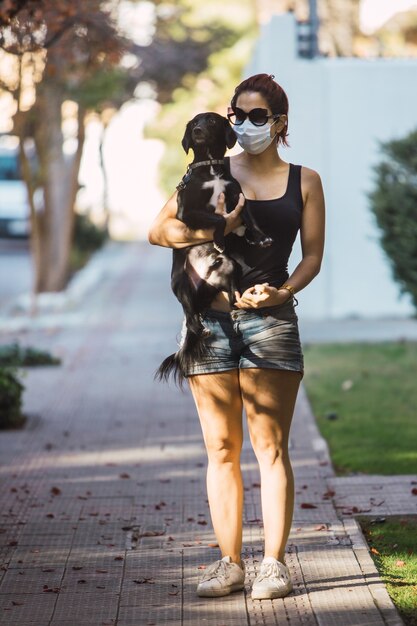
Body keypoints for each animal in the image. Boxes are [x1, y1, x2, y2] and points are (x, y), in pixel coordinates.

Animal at [154, 112, 272, 386]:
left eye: (212, 121)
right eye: (194, 123)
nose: (197, 131)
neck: (210, 168)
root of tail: (204, 285)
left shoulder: (238, 197)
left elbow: (249, 218)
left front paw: (258, 237)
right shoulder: (187, 212)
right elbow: (218, 218)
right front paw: (220, 237)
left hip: (229, 267)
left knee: (232, 300)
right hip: (181, 285)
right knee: (191, 321)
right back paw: (202, 327)